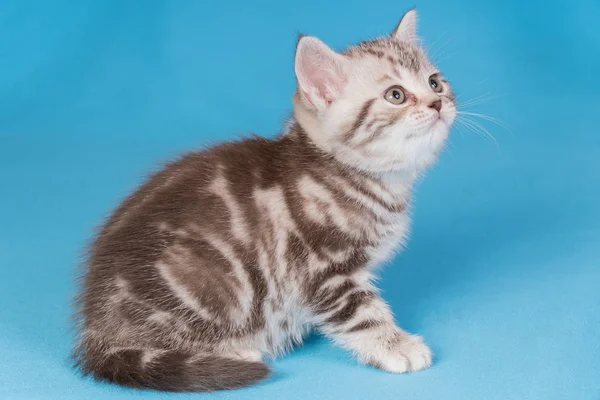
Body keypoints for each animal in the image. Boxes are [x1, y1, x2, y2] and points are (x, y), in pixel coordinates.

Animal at [72, 8, 454, 390]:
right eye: (396, 95)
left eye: (435, 82)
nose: (438, 103)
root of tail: (96, 333)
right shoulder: (321, 270)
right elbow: (361, 312)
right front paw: (395, 344)